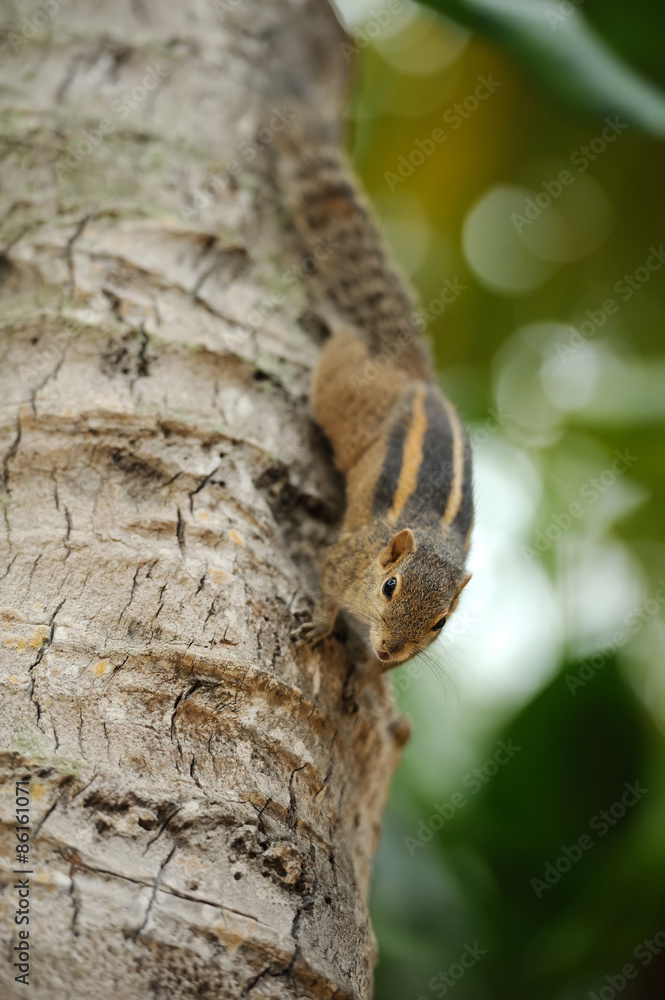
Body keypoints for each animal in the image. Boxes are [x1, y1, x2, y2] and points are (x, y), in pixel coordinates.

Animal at [276, 131, 473, 694]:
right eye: (389, 586)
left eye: (441, 622)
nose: (388, 648)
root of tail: (417, 378)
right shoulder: (345, 558)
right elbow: (325, 589)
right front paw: (319, 628)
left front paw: (366, 677)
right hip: (344, 389)